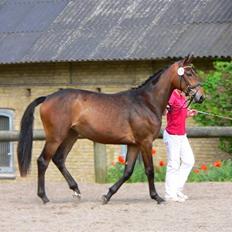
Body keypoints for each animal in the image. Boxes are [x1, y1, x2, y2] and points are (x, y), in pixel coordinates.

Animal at [17, 56, 204, 205]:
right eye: (189, 73)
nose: (201, 96)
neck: (146, 102)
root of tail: (48, 97)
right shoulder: (145, 141)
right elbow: (149, 170)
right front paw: (157, 197)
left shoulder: (134, 144)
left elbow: (128, 172)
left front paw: (107, 195)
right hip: (56, 137)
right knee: (43, 161)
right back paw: (44, 197)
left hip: (71, 135)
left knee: (59, 159)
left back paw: (76, 190)